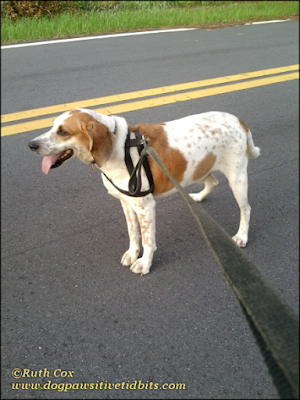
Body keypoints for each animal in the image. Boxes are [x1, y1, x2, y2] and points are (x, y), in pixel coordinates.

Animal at [29, 108, 262, 276]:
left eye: (63, 132)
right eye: (52, 126)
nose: (31, 145)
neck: (119, 147)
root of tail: (238, 120)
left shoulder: (145, 207)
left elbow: (148, 241)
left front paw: (144, 263)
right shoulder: (127, 204)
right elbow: (134, 234)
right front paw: (133, 254)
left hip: (237, 179)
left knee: (247, 209)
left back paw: (242, 236)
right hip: (199, 169)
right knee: (213, 182)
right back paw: (198, 197)